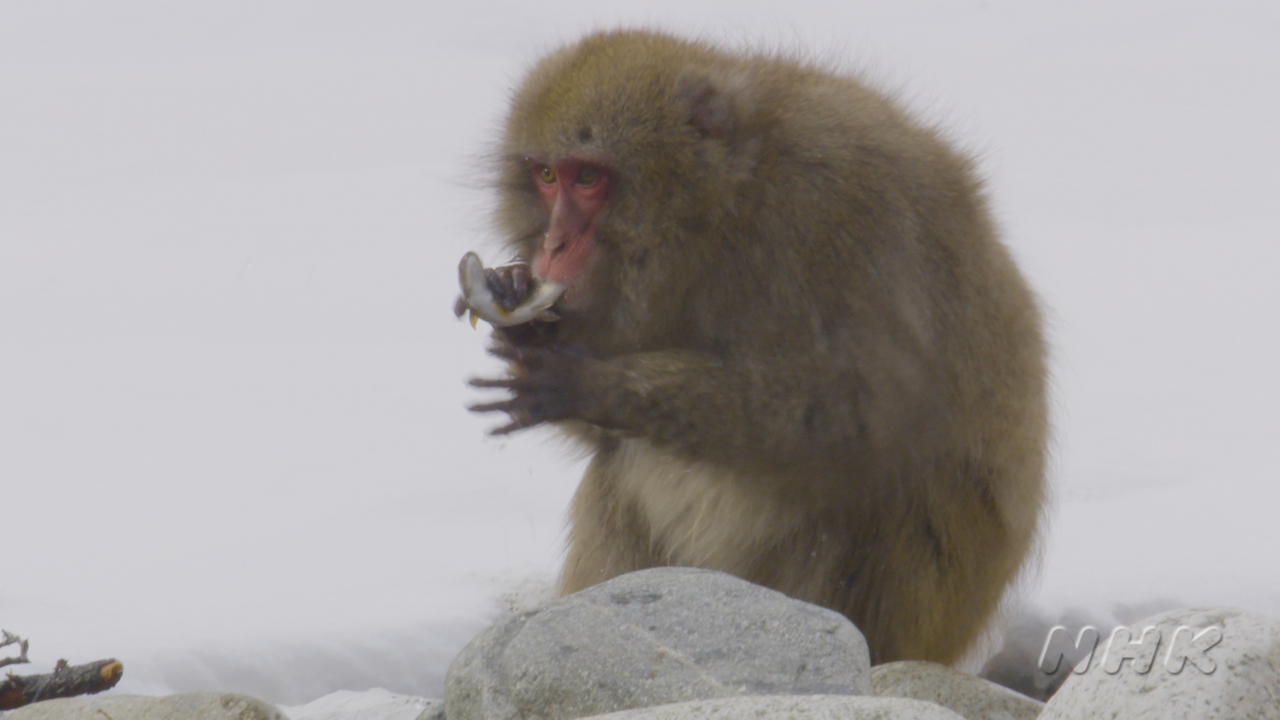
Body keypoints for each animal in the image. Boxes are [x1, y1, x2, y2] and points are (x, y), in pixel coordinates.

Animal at [465, 29, 1049, 666]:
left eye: (588, 178)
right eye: (547, 176)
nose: (553, 244)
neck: (728, 210)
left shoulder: (835, 215)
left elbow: (858, 415)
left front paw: (592, 383)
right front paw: (522, 313)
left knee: (865, 500)